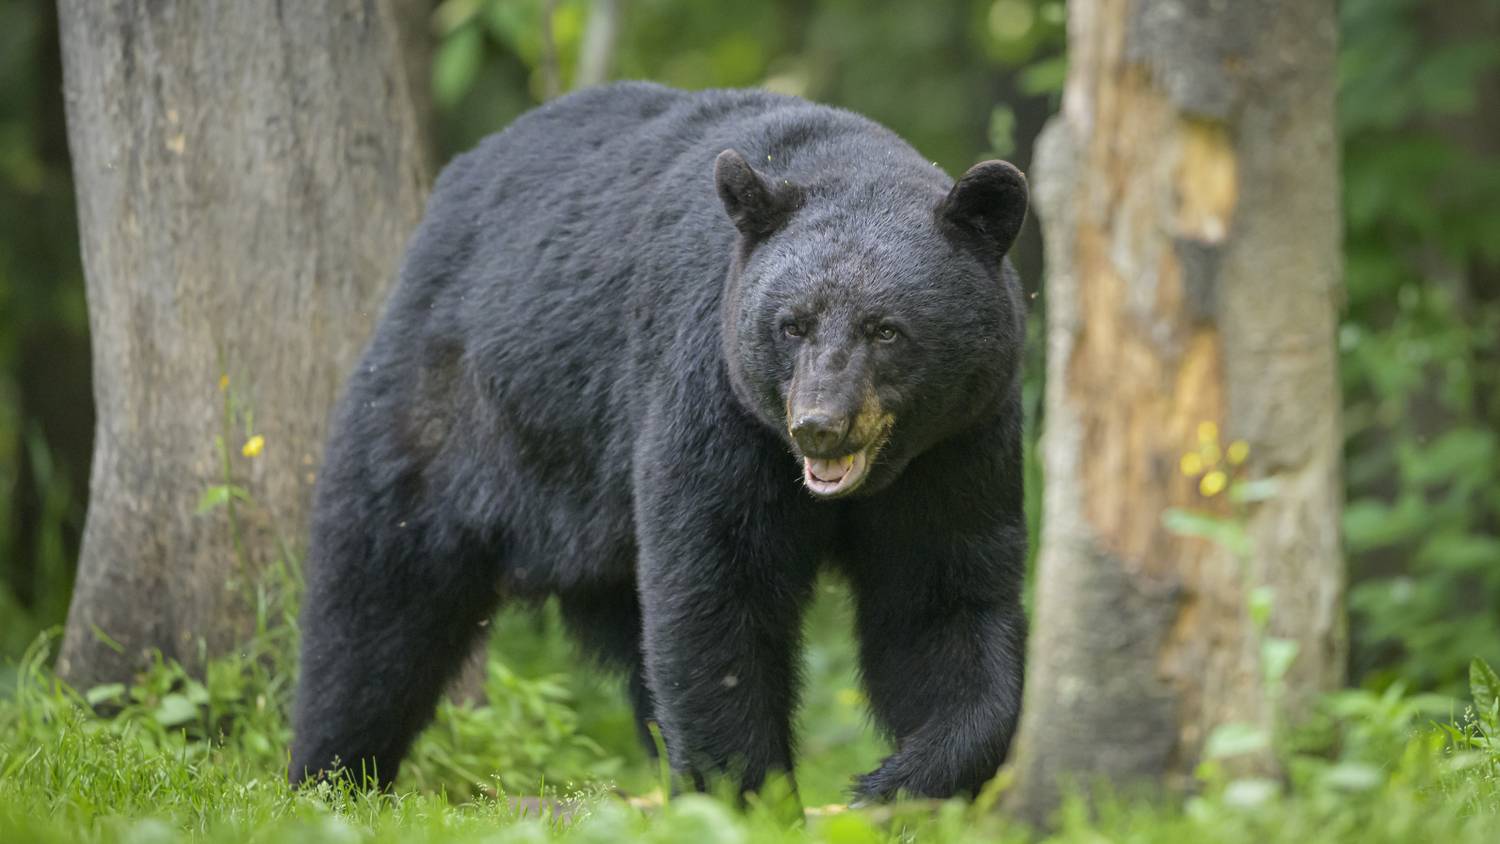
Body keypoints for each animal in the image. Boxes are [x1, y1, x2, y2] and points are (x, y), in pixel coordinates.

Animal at [286, 82, 1026, 803]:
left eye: (886, 329)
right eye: (792, 324)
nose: (819, 423)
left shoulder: (958, 444)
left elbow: (942, 600)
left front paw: (901, 780)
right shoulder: (714, 398)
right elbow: (715, 590)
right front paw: (749, 793)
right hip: (448, 413)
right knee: (377, 602)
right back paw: (331, 775)